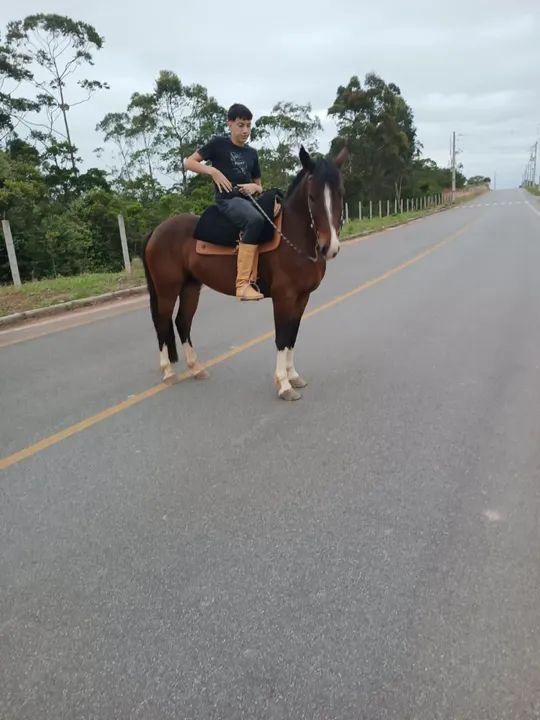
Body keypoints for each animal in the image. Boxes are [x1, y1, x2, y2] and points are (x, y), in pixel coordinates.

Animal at [142, 145, 348, 401]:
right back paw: (169, 372)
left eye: (340, 193)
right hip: (167, 289)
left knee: (182, 322)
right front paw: (284, 385)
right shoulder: (284, 297)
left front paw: (293, 376)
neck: (293, 236)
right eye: (312, 197)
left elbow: (292, 335)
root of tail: (156, 231)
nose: (329, 247)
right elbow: (282, 338)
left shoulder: (302, 297)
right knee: (162, 321)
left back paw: (196, 368)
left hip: (190, 287)